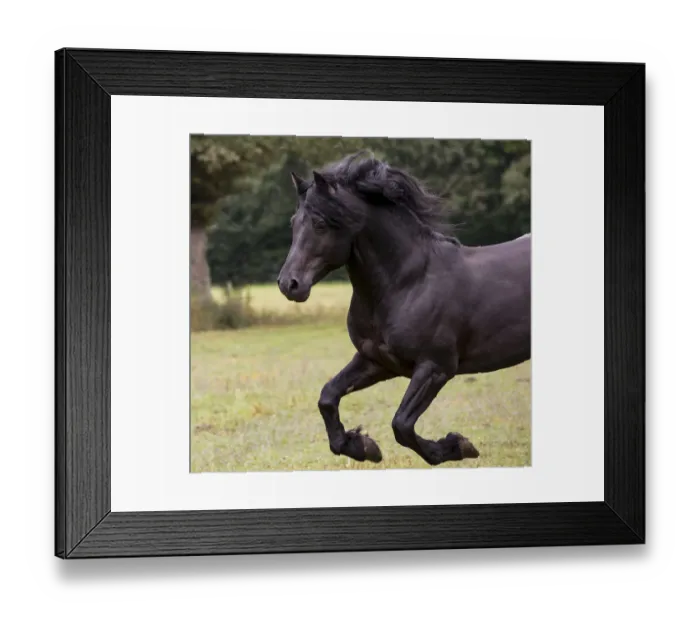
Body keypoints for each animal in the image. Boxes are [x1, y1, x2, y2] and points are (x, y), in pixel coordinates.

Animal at [277, 152, 531, 466]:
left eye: (321, 223)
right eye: (294, 223)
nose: (289, 284)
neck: (407, 284)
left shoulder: (435, 368)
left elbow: (402, 425)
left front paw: (458, 446)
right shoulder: (378, 361)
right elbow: (327, 397)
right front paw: (362, 446)